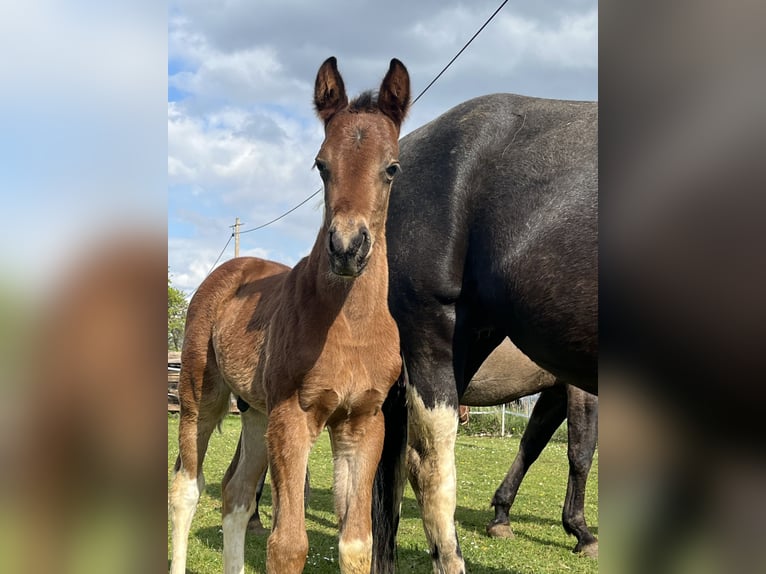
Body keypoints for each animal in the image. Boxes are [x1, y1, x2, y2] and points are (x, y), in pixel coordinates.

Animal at [168, 56, 411, 574]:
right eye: (321, 165)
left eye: (392, 168)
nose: (347, 247)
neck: (350, 329)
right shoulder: (292, 418)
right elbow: (288, 545)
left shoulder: (363, 424)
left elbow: (355, 543)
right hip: (203, 399)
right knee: (187, 488)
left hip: (256, 413)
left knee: (235, 494)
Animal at [372, 93, 597, 573]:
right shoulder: (576, 387)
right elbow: (579, 451)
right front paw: (582, 533)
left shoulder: (556, 387)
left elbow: (533, 442)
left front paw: (504, 516)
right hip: (431, 337)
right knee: (426, 465)